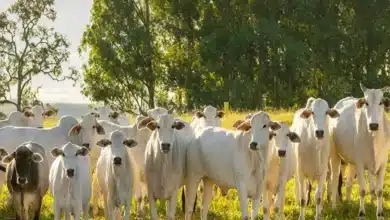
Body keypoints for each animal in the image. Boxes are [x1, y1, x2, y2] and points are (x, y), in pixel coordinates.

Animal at [330, 83, 390, 219]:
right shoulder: (360, 164)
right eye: (366, 102)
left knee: (349, 183)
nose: (373, 125)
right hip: (336, 157)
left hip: (351, 163)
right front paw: (361, 213)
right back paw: (335, 206)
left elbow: (378, 190)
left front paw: (380, 213)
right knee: (334, 180)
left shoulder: (382, 164)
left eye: (381, 102)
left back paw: (347, 202)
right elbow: (362, 190)